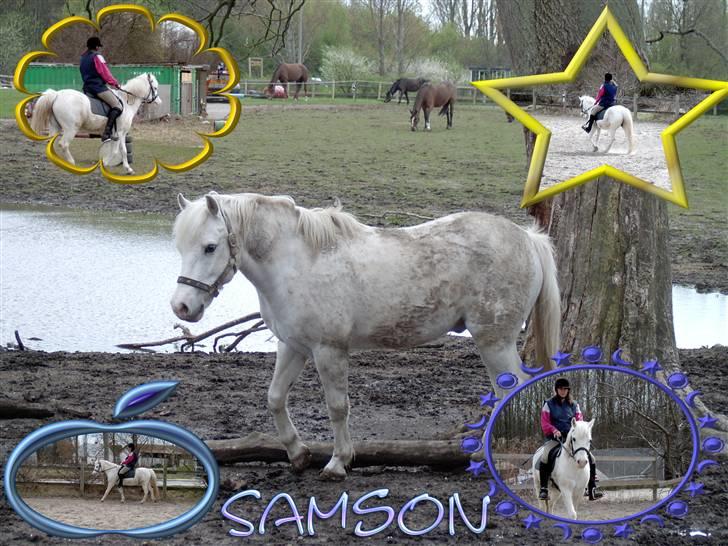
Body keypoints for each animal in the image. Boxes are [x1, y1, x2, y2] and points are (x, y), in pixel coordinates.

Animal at [29, 73, 161, 174]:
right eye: (154, 88)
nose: (159, 102)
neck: (126, 102)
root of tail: (57, 95)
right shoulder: (120, 132)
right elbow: (119, 150)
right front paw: (109, 164)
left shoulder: (117, 134)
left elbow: (118, 150)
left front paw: (125, 168)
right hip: (70, 128)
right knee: (64, 144)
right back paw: (71, 162)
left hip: (55, 126)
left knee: (50, 142)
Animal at [170, 192, 561, 480]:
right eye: (181, 247)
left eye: (209, 247)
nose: (182, 306)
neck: (296, 263)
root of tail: (527, 239)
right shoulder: (293, 347)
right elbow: (275, 398)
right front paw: (298, 454)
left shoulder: (328, 351)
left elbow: (337, 407)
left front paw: (337, 462)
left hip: (495, 342)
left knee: (512, 392)